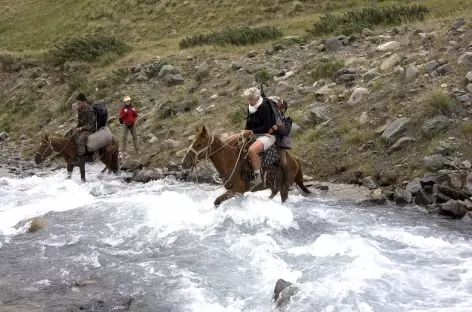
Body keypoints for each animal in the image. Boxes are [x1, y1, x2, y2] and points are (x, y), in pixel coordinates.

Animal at [180, 123, 310, 206]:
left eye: (198, 144)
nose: (184, 163)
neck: (230, 161)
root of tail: (294, 158)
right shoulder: (237, 192)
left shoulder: (238, 189)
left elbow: (217, 201)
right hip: (275, 184)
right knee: (274, 192)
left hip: (285, 186)